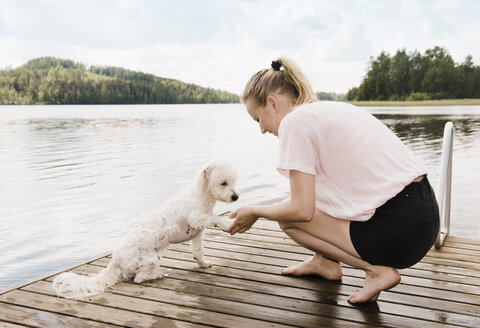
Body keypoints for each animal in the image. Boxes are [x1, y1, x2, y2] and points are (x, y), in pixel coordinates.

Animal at [52, 161, 238, 300]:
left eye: (233, 181)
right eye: (223, 183)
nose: (236, 196)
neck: (201, 194)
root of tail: (115, 260)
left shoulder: (197, 233)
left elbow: (198, 252)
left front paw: (203, 264)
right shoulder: (196, 218)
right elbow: (215, 218)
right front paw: (225, 223)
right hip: (152, 259)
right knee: (139, 278)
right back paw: (157, 274)